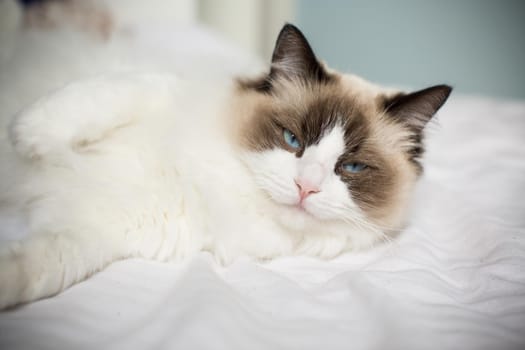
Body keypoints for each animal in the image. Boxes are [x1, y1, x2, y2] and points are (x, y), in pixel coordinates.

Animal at [0, 24, 450, 308]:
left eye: (351, 167)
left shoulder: (94, 233)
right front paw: (28, 135)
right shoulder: (159, 88)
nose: (306, 187)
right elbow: (101, 96)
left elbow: (34, 269)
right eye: (292, 141)